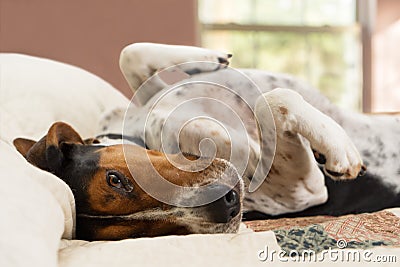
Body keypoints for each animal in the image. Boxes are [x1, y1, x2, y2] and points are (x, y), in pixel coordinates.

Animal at [14, 43, 398, 241]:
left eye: (116, 179)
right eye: (137, 235)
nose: (227, 203)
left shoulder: (146, 96)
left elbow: (131, 55)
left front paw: (209, 59)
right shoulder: (303, 191)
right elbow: (272, 101)